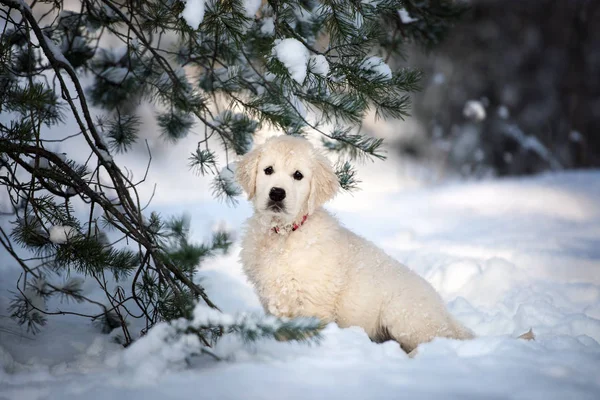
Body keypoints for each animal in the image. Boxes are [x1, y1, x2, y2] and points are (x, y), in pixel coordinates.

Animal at [234, 135, 474, 354]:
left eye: (298, 175)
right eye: (268, 170)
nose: (276, 193)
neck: (283, 235)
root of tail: (446, 315)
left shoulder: (313, 303)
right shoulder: (272, 300)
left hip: (403, 315)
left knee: (432, 340)